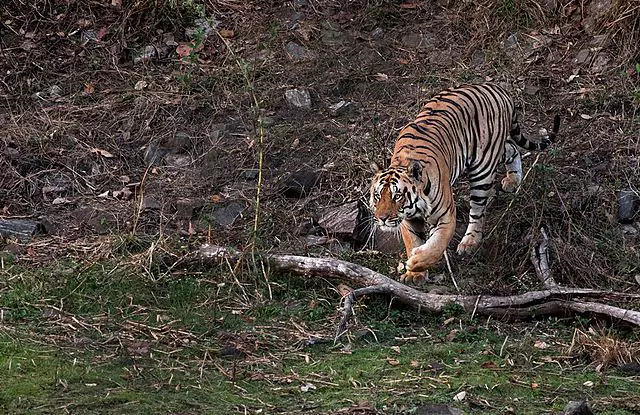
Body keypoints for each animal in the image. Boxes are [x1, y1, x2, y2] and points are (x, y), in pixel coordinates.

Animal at [370, 83, 560, 286]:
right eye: (378, 196)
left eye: (397, 196)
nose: (381, 218)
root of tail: (497, 88)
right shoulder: (409, 220)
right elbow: (413, 241)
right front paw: (415, 274)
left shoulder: (445, 216)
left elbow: (436, 245)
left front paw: (416, 261)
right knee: (512, 147)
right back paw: (513, 180)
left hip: (482, 167)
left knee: (477, 212)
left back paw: (469, 242)